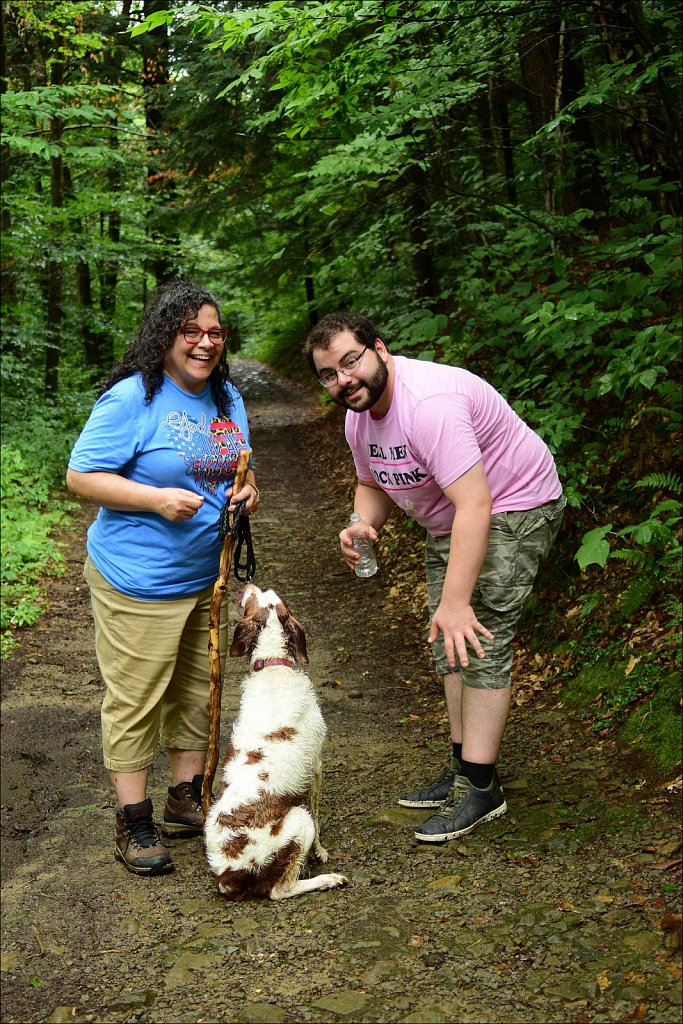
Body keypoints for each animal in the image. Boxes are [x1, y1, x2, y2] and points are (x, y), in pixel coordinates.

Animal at [204, 585, 350, 905]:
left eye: (266, 595)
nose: (248, 585)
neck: (273, 666)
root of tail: (227, 876)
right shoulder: (316, 766)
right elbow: (318, 816)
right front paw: (320, 853)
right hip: (298, 821)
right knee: (280, 891)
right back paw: (327, 880)